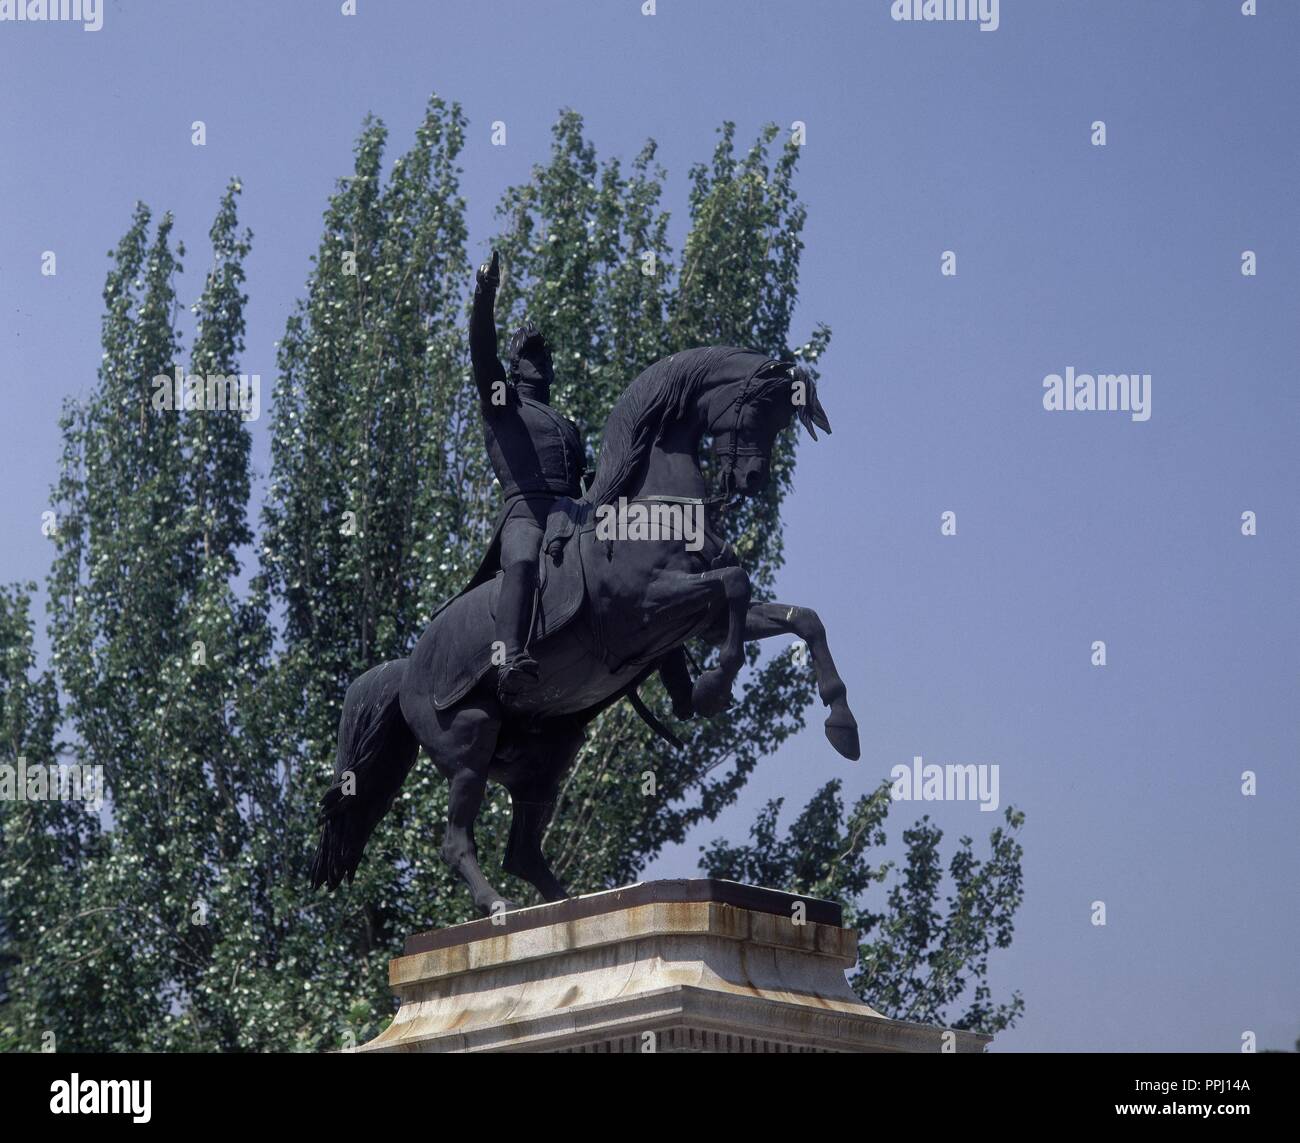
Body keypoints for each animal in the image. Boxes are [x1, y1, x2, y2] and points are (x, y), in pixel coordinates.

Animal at [310, 343, 863, 915]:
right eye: (756, 409)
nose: (752, 481)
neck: (653, 513)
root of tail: (406, 669)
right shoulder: (648, 604)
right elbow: (735, 583)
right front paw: (713, 688)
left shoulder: (703, 621)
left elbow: (803, 619)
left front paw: (842, 725)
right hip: (469, 740)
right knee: (457, 841)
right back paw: (498, 907)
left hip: (547, 758)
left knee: (522, 852)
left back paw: (566, 907)